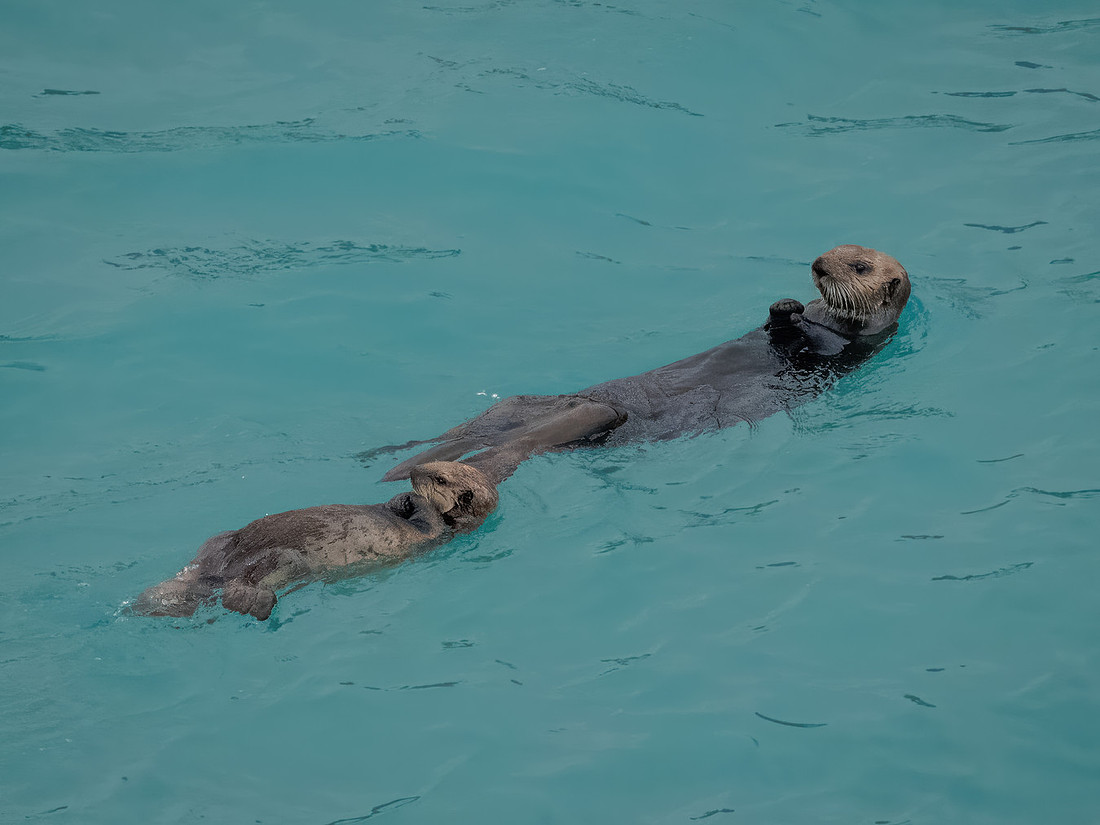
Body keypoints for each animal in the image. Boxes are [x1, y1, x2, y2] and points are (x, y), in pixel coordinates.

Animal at [131, 461, 498, 620]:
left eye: (440, 478)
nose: (413, 471)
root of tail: (220, 571)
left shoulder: (435, 532)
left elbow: (428, 518)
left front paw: (415, 499)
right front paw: (401, 498)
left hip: (284, 562)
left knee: (243, 586)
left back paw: (257, 604)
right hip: (219, 543)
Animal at [378, 245, 910, 482]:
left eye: (859, 266)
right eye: (833, 249)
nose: (819, 265)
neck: (830, 317)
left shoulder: (845, 348)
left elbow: (812, 343)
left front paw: (793, 311)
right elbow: (775, 329)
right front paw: (784, 305)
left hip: (598, 418)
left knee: (517, 444)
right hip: (524, 404)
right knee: (474, 430)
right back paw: (391, 455)